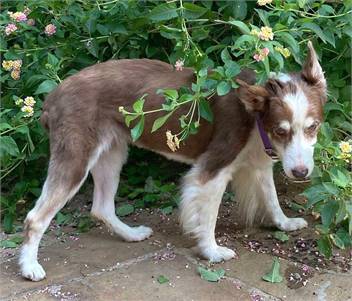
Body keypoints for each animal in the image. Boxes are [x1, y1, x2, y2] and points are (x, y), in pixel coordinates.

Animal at [20, 41, 328, 280]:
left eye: (313, 127)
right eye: (281, 130)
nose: (301, 173)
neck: (253, 115)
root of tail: (52, 96)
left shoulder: (260, 164)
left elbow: (272, 199)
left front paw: (285, 224)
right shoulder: (212, 169)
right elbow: (208, 218)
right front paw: (212, 251)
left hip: (112, 155)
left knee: (101, 208)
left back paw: (130, 234)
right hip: (75, 158)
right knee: (35, 218)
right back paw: (30, 267)